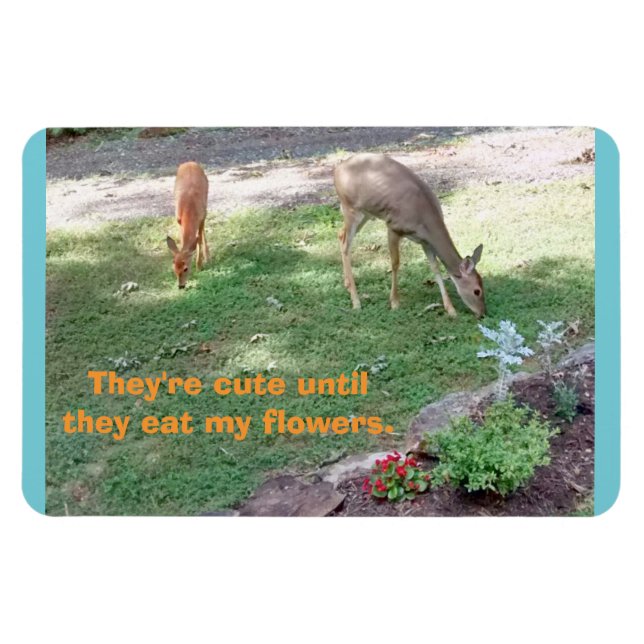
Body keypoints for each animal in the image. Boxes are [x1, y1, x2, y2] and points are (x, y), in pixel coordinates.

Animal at [333, 153, 486, 318]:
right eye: (477, 291)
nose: (482, 313)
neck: (424, 219)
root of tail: (337, 169)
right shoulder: (393, 226)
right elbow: (395, 263)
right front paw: (394, 302)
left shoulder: (425, 241)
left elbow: (435, 268)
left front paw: (450, 309)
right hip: (350, 207)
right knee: (346, 243)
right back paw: (356, 301)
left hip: (366, 213)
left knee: (341, 235)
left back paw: (347, 284)